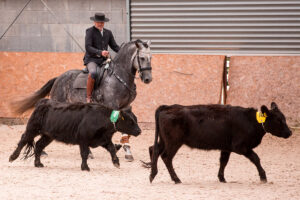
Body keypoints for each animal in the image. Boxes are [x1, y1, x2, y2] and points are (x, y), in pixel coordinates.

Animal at [9, 98, 141, 170]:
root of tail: (44, 101)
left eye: (135, 119)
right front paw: (85, 167)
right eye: (130, 121)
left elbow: (112, 149)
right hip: (33, 128)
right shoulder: (83, 140)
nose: (139, 131)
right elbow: (84, 153)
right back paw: (12, 157)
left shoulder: (104, 139)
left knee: (39, 145)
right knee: (23, 139)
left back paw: (38, 163)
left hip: (48, 135)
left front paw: (116, 163)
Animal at [149, 102, 292, 184]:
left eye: (284, 118)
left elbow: (223, 161)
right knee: (166, 157)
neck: (251, 121)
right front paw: (263, 177)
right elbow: (255, 158)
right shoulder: (240, 147)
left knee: (153, 150)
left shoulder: (226, 147)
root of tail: (168, 107)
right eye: (279, 120)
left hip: (164, 140)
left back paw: (152, 174)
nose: (290, 132)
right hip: (173, 142)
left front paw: (221, 178)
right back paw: (176, 179)